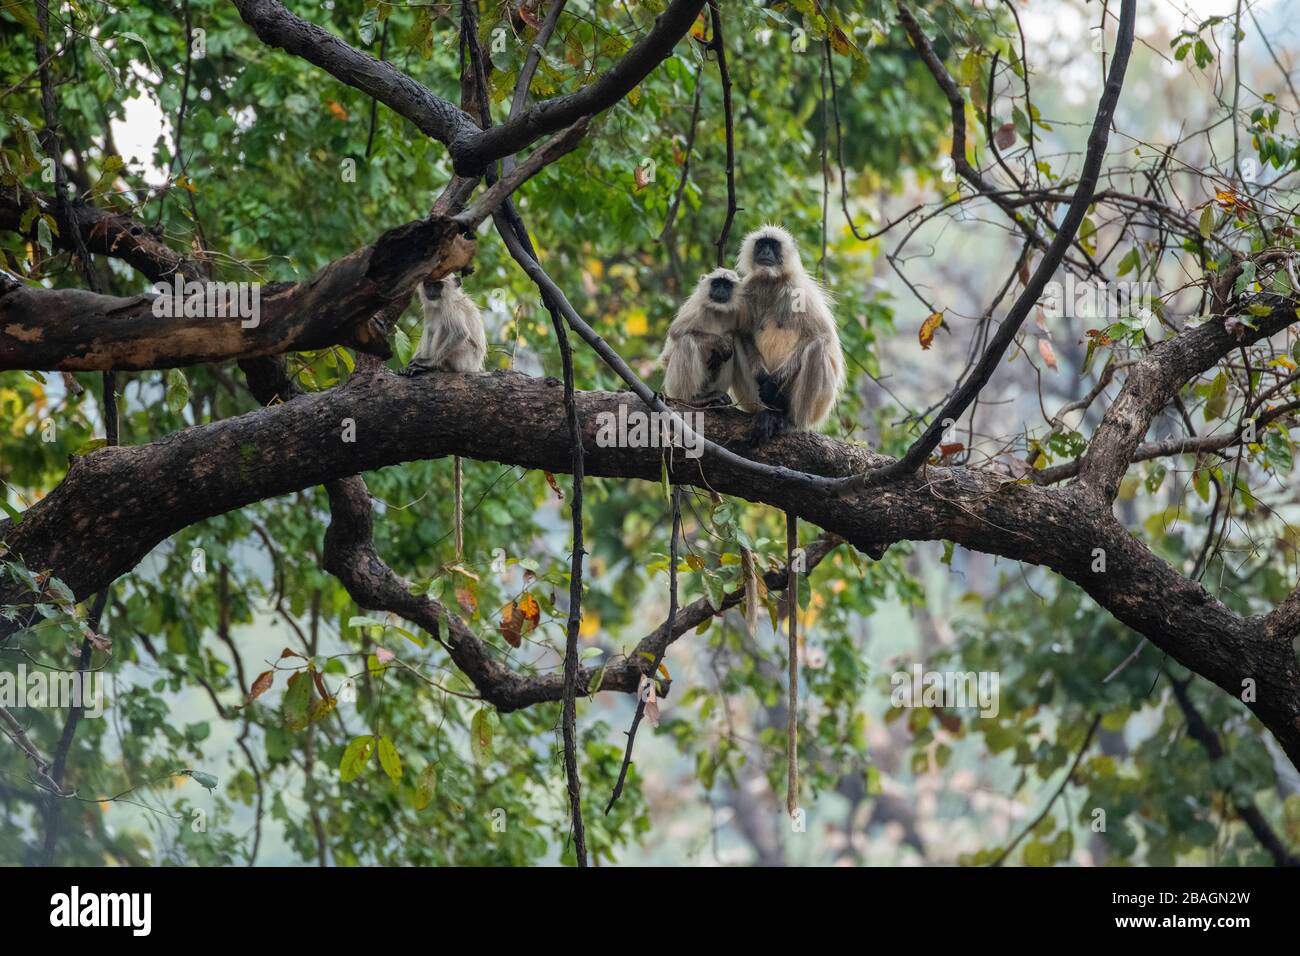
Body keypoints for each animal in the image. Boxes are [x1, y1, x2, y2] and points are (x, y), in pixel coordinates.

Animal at [660, 267, 759, 408]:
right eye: (716, 284)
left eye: (727, 285)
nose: (721, 291)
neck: (717, 311)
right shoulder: (697, 306)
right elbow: (676, 332)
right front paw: (719, 343)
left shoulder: (741, 309)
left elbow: (738, 334)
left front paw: (720, 349)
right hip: (674, 389)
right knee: (686, 341)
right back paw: (693, 399)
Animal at [738, 225, 847, 444]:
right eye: (761, 245)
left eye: (773, 246)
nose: (765, 252)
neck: (771, 281)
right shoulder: (748, 287)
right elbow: (742, 334)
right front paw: (763, 378)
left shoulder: (799, 287)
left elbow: (823, 335)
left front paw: (772, 384)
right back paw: (767, 413)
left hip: (817, 408)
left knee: (817, 347)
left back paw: (791, 422)